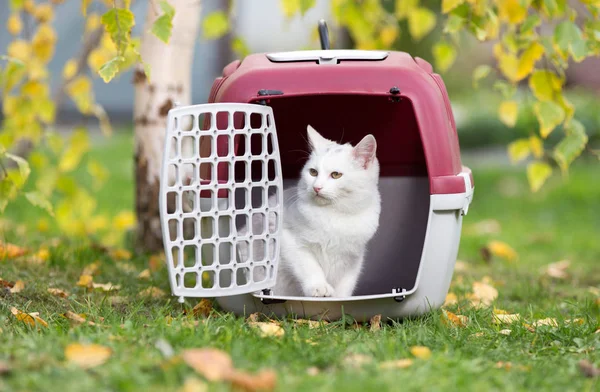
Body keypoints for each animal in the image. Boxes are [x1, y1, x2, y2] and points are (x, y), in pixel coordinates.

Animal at [258, 125, 380, 298]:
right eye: (313, 172)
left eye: (336, 175)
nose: (317, 187)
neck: (333, 213)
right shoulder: (288, 239)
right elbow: (309, 266)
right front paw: (319, 286)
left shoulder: (353, 258)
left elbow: (346, 284)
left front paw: (340, 299)